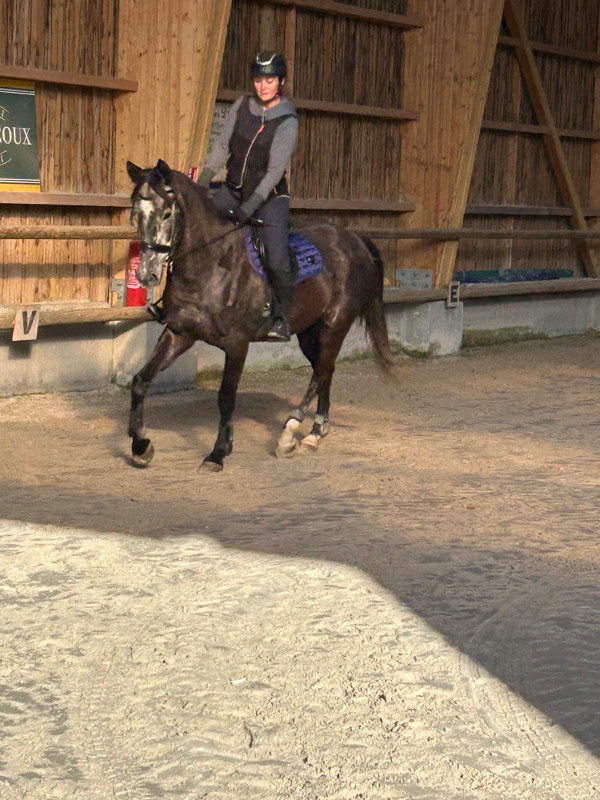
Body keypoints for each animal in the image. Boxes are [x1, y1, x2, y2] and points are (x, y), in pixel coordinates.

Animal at [126, 159, 396, 471]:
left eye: (167, 213)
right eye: (136, 213)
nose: (146, 274)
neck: (211, 264)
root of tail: (354, 239)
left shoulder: (236, 344)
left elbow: (226, 397)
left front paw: (217, 453)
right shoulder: (180, 333)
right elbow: (141, 381)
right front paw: (141, 446)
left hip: (334, 324)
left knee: (322, 371)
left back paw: (290, 434)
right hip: (309, 332)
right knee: (324, 370)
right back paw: (316, 432)